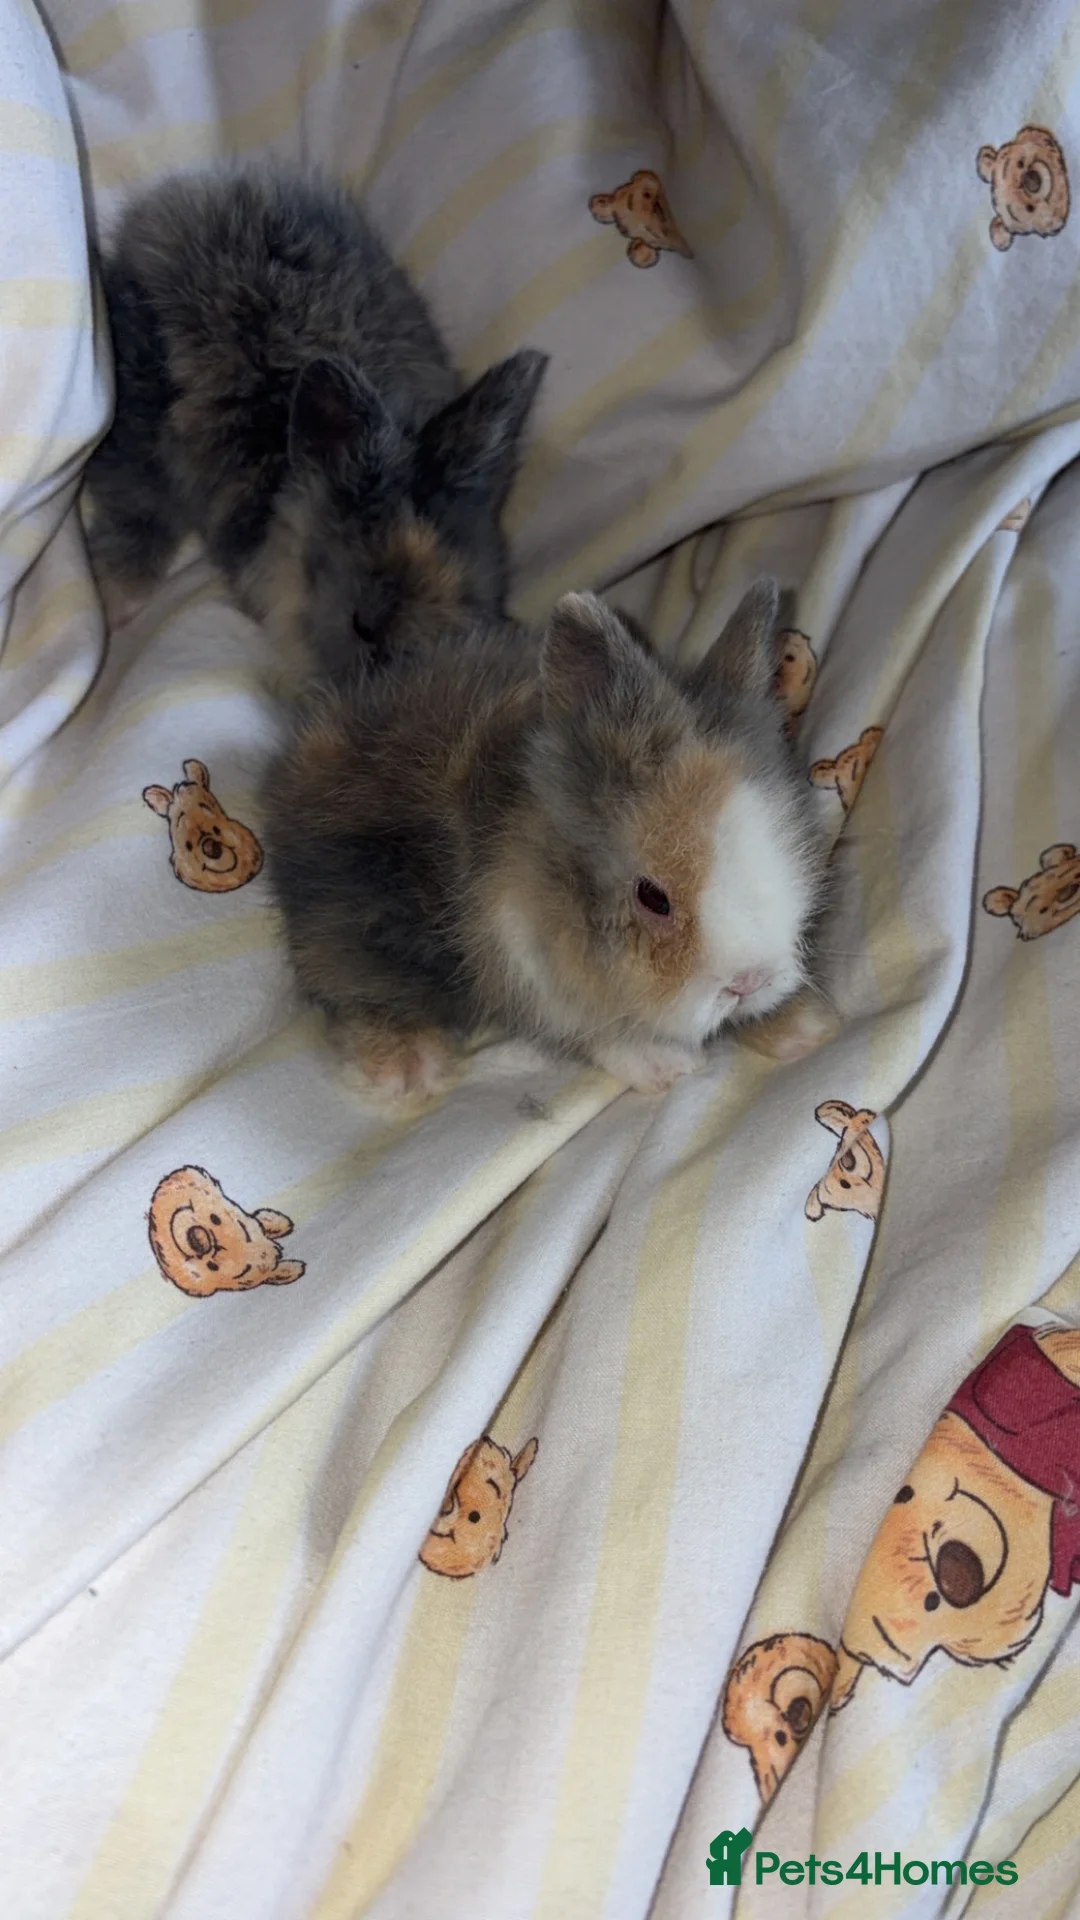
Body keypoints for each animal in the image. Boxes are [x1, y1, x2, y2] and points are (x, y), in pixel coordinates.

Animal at [260, 578, 834, 1098]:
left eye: (793, 850)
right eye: (653, 898)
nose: (749, 982)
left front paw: (802, 1030)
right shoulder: (529, 969)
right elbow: (594, 1031)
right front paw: (664, 1066)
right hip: (356, 916)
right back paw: (405, 1071)